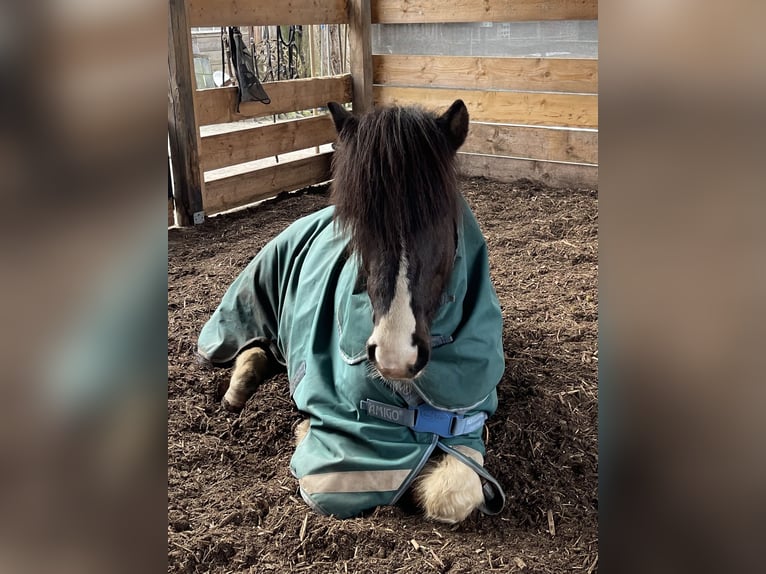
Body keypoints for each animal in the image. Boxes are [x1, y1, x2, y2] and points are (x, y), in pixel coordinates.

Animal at [200, 100, 510, 528]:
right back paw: (236, 390)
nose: (396, 356)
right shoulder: (344, 459)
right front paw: (302, 429)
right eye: (361, 226)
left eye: (441, 218)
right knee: (252, 345)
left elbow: (454, 492)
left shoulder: (466, 416)